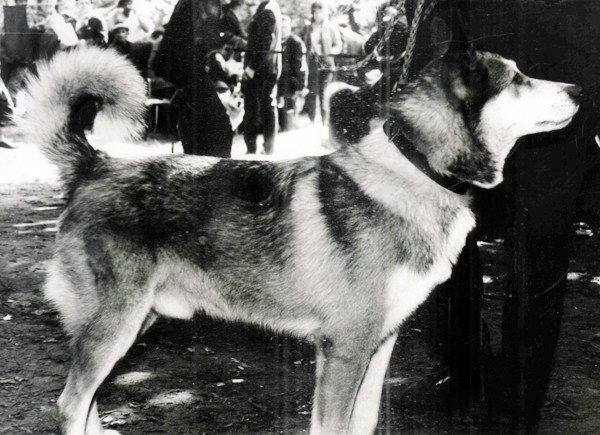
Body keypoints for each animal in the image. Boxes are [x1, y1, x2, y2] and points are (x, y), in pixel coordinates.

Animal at [17, 33, 580, 434]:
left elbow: (363, 424)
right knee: (69, 403)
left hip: (134, 322)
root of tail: (95, 164)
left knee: (85, 398)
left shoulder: (378, 344)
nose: (577, 89)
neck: (416, 168)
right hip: (116, 323)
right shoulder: (343, 349)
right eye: (518, 79)